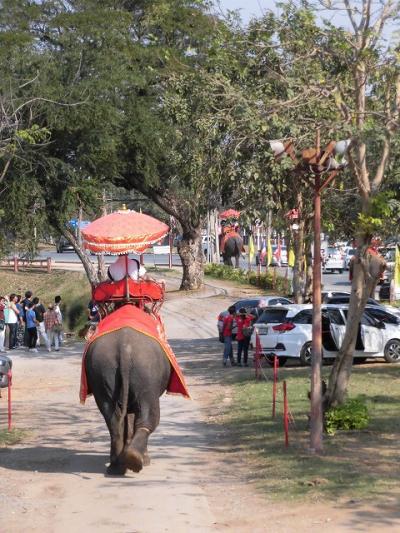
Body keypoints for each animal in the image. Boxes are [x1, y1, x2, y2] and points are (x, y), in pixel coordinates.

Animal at [85, 326, 170, 476]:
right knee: (147, 418)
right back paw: (137, 459)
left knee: (113, 421)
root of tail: (124, 348)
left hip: (101, 372)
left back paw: (117, 467)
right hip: (146, 376)